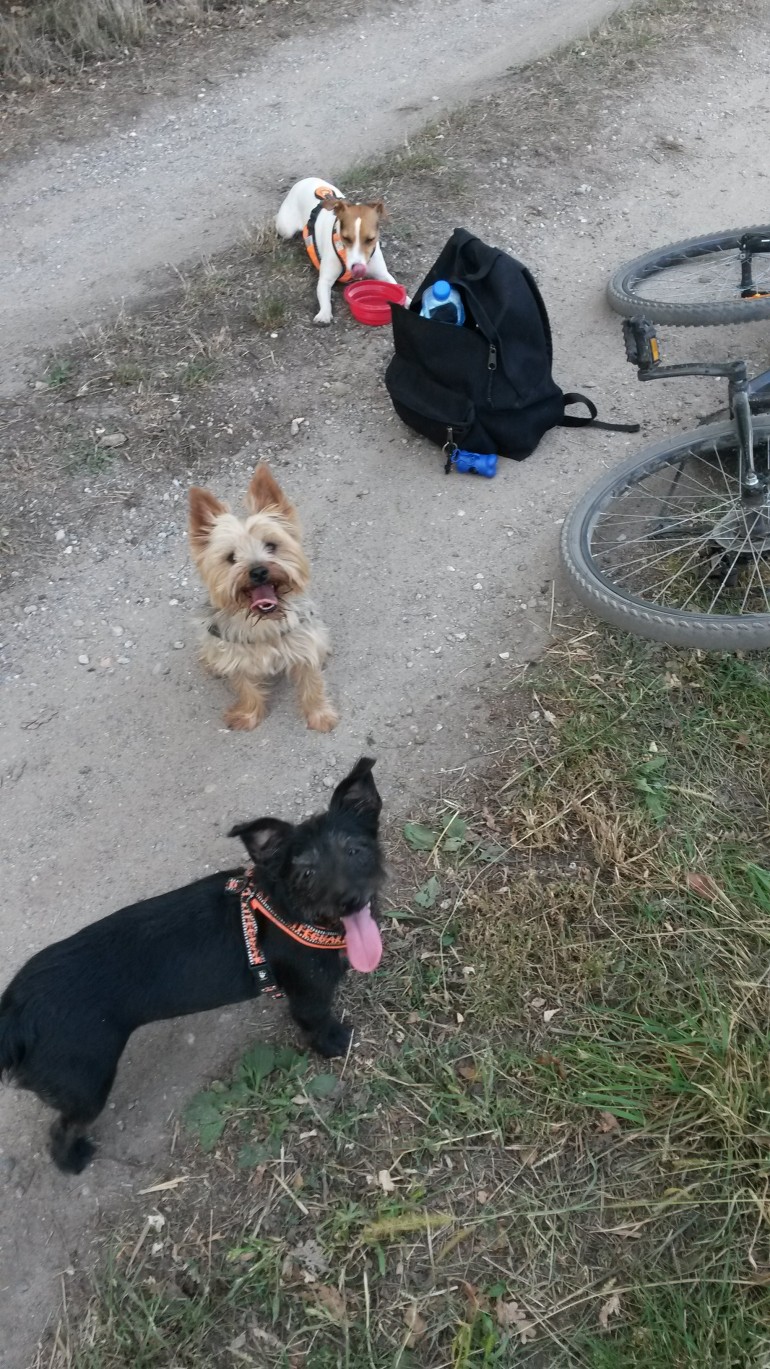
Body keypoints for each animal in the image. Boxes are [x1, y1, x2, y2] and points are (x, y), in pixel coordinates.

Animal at [0, 755, 383, 1171]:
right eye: (306, 873)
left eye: (356, 851)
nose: (349, 900)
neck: (285, 909)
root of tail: (15, 1015)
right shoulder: (310, 996)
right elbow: (318, 1023)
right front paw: (336, 1043)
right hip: (85, 1086)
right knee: (61, 1131)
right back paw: (73, 1160)